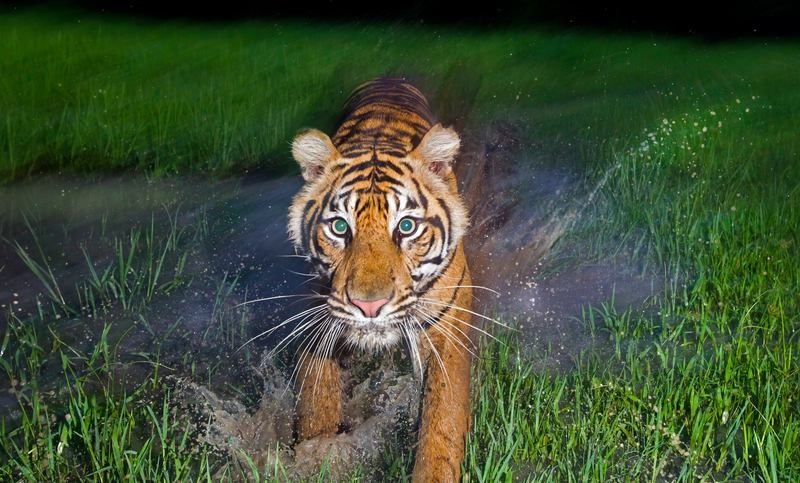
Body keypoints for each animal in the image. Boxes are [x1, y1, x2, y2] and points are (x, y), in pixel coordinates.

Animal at [290, 77, 472, 482]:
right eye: (340, 227)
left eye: (406, 226)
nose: (368, 306)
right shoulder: (318, 319)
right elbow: (316, 403)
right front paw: (316, 458)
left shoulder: (447, 327)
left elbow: (442, 420)